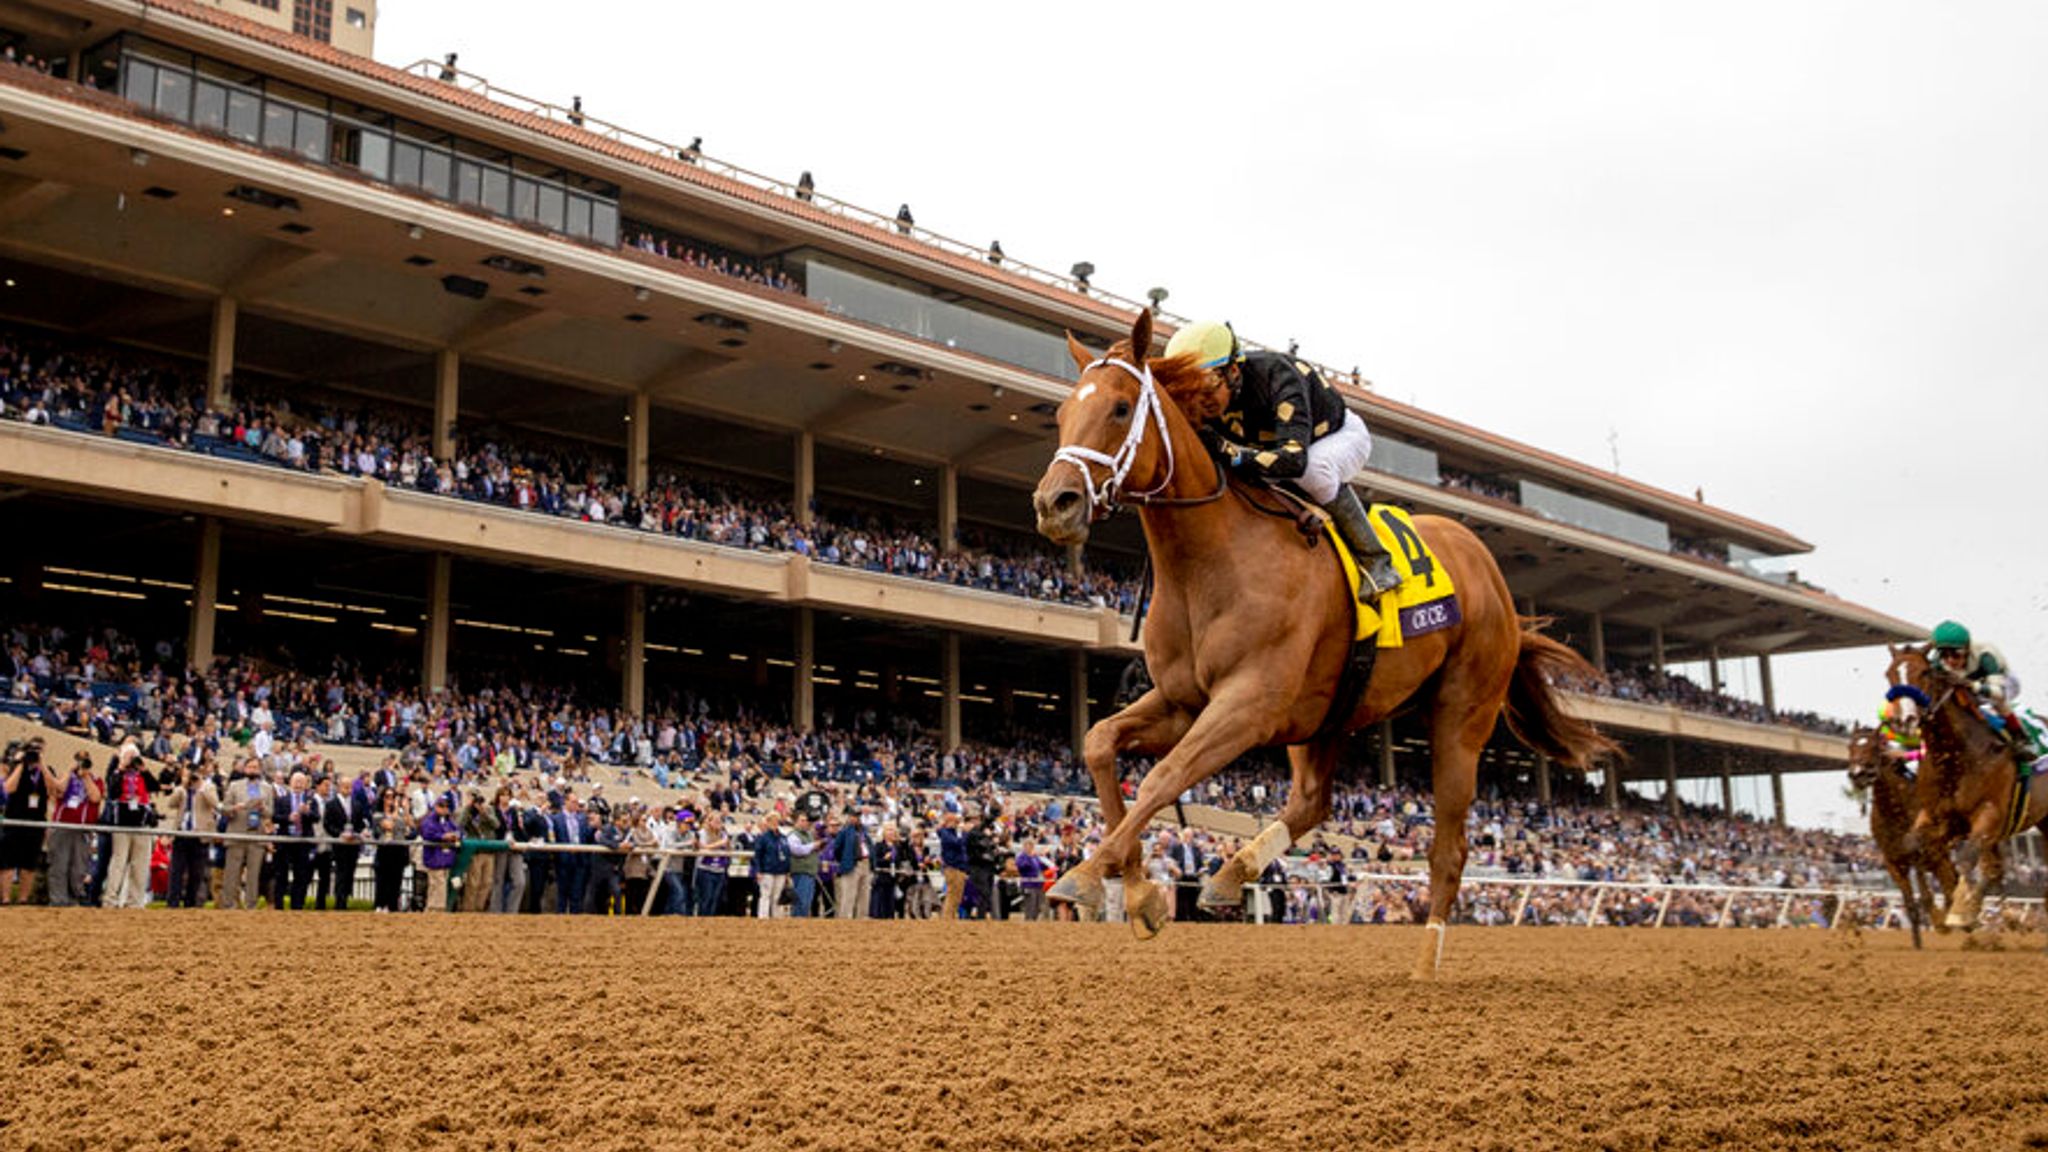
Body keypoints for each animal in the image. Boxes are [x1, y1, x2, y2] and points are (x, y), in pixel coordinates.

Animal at [1024, 309, 1613, 971]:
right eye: (1062, 412)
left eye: (1122, 408)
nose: (1055, 503)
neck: (1213, 559)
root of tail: (1493, 577)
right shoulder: (1184, 701)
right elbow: (1100, 742)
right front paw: (1141, 893)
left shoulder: (1248, 705)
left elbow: (1162, 776)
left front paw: (1088, 874)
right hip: (1326, 715)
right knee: (1312, 802)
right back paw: (1230, 875)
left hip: (1462, 713)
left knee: (1450, 846)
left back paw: (1424, 961)